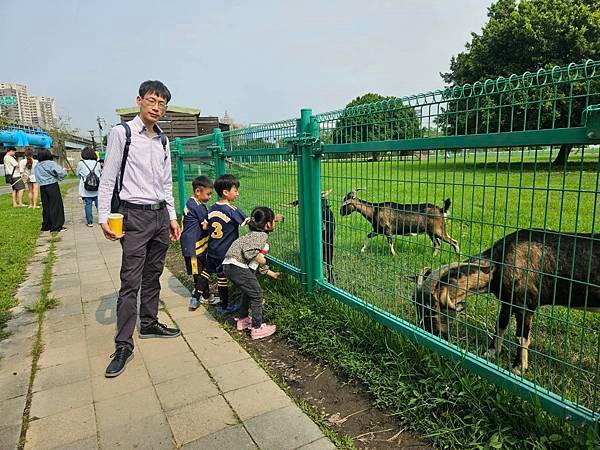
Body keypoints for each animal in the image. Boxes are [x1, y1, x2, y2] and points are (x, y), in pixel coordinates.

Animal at [412, 230, 600, 374]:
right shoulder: (507, 302)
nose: (430, 332)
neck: (500, 263)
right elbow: (500, 325)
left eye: (432, 306)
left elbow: (521, 337)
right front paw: (490, 352)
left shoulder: (525, 304)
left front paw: (518, 368)